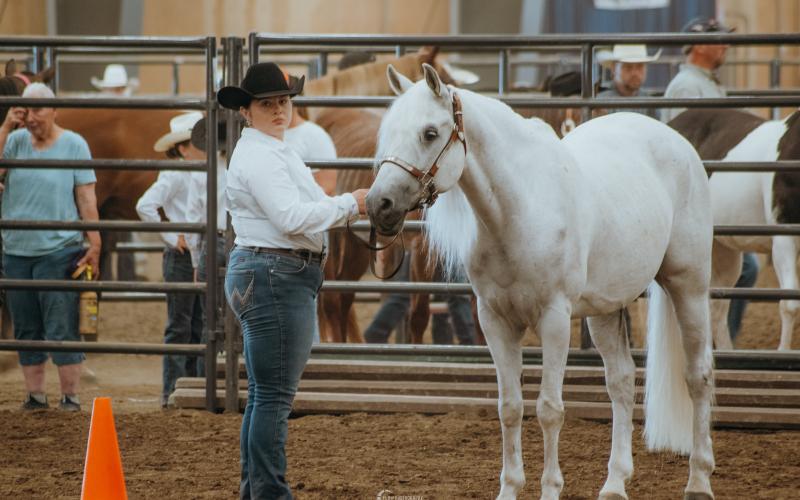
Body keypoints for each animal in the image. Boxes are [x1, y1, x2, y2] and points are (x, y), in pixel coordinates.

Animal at [367, 64, 715, 499]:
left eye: (430, 132)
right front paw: (509, 488)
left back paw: (699, 480)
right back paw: (615, 483)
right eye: (388, 131)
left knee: (698, 376)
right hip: (606, 308)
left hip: (689, 287)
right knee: (620, 381)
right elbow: (510, 407)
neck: (520, 209)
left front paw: (550, 488)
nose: (378, 205)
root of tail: (677, 142)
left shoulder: (554, 319)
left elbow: (549, 410)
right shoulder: (495, 321)